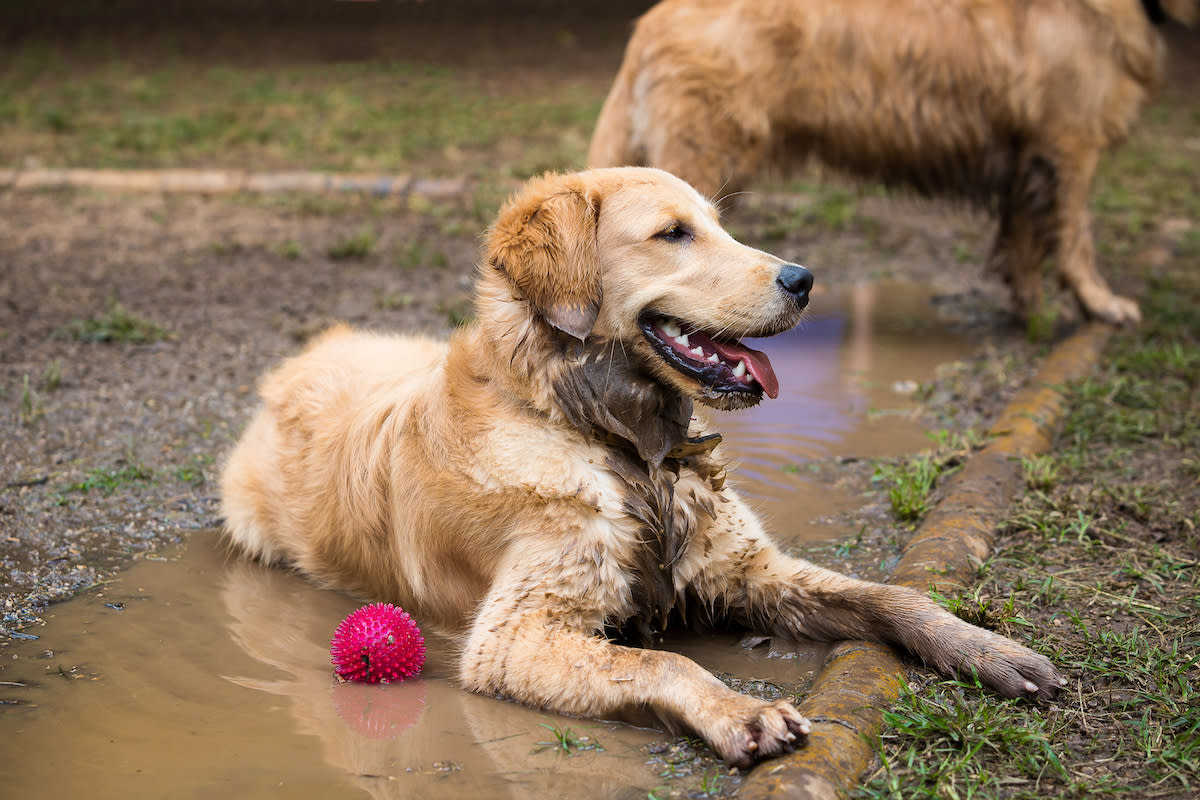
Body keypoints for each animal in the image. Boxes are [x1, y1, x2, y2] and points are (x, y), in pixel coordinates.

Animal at [218, 169, 1060, 767]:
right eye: (673, 234)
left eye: (718, 225)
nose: (803, 279)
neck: (613, 440)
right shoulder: (513, 636)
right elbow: (664, 664)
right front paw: (741, 712)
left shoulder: (750, 569)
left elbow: (892, 596)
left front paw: (989, 651)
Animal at [585, 0, 1195, 326]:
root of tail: (651, 23)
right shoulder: (1070, 143)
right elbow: (1076, 235)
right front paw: (1101, 304)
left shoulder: (1027, 154)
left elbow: (1023, 241)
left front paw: (1032, 314)